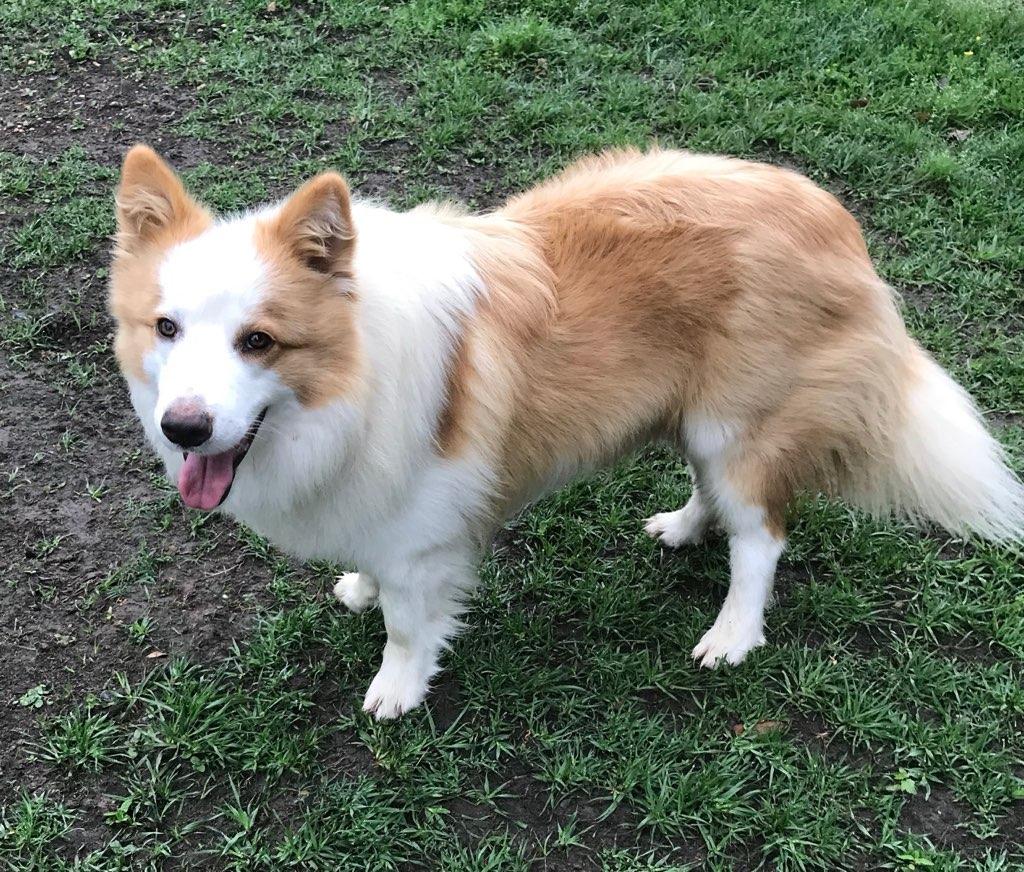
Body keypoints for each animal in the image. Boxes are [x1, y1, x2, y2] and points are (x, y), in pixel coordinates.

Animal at [108, 143, 1019, 716]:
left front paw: (397, 688)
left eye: (259, 341)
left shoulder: (424, 523)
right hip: (694, 416)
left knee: (761, 539)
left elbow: (407, 622)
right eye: (166, 328)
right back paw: (685, 526)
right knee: (715, 498)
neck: (350, 370)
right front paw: (360, 587)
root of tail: (833, 215)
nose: (185, 429)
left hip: (740, 427)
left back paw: (732, 634)